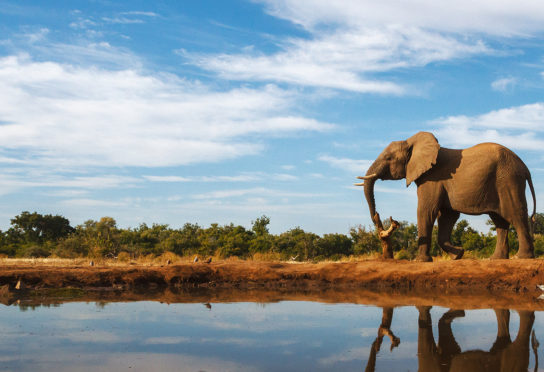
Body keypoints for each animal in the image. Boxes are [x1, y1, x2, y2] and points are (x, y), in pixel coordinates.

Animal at [354, 132, 536, 260]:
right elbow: (447, 216)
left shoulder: (432, 179)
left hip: (508, 180)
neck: (412, 142)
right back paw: (496, 259)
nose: (378, 216)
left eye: (388, 158)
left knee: (516, 215)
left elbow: (426, 211)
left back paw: (521, 257)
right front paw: (458, 255)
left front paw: (421, 261)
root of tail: (525, 167)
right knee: (500, 221)